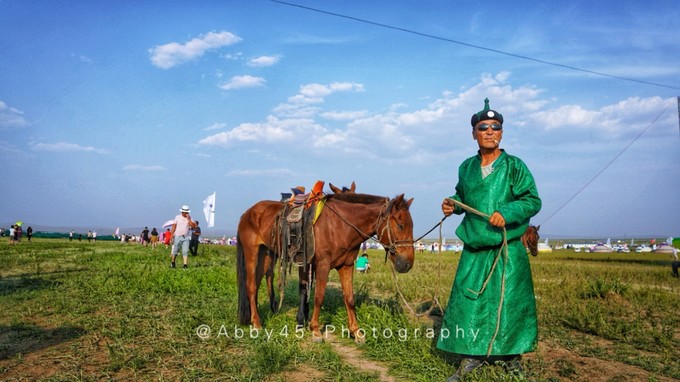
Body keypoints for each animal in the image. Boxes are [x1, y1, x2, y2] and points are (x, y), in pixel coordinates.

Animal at [236, 191, 414, 344]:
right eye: (400, 225)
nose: (407, 264)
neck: (340, 225)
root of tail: (247, 213)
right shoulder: (323, 265)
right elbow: (318, 297)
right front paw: (315, 330)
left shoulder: (346, 266)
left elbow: (349, 299)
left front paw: (356, 332)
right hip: (252, 252)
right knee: (251, 286)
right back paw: (257, 324)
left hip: (266, 254)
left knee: (257, 283)